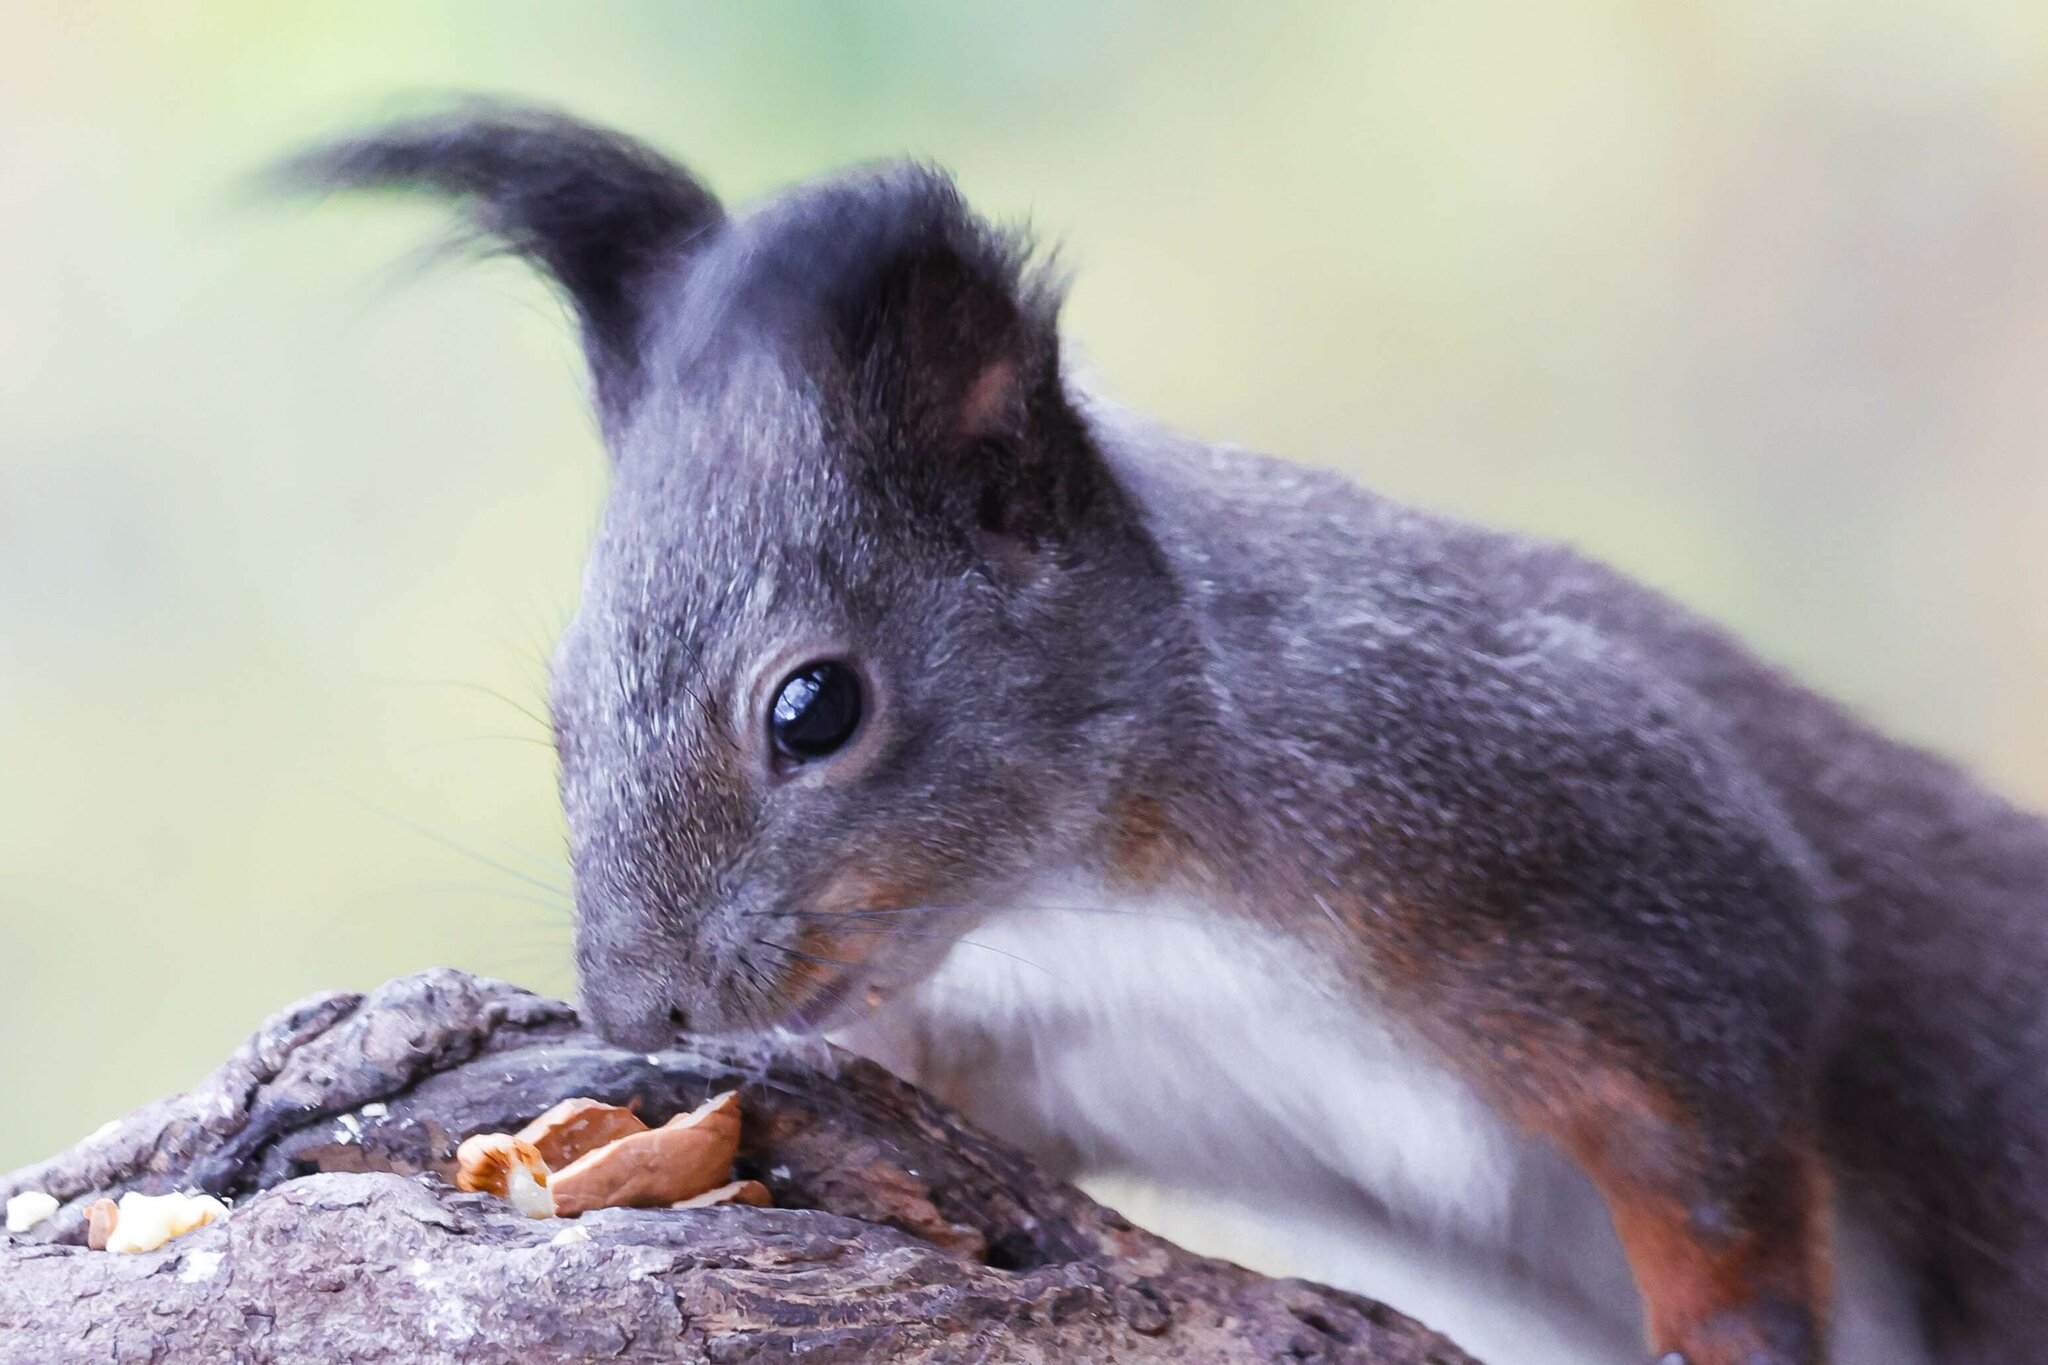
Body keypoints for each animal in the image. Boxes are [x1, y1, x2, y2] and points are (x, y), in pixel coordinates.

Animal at [281, 103, 2048, 1365]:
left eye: (814, 706)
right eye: (564, 703)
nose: (637, 1004)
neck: (1100, 894)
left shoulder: (1596, 855)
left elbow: (1722, 1151)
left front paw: (1727, 1329)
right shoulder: (1029, 1044)